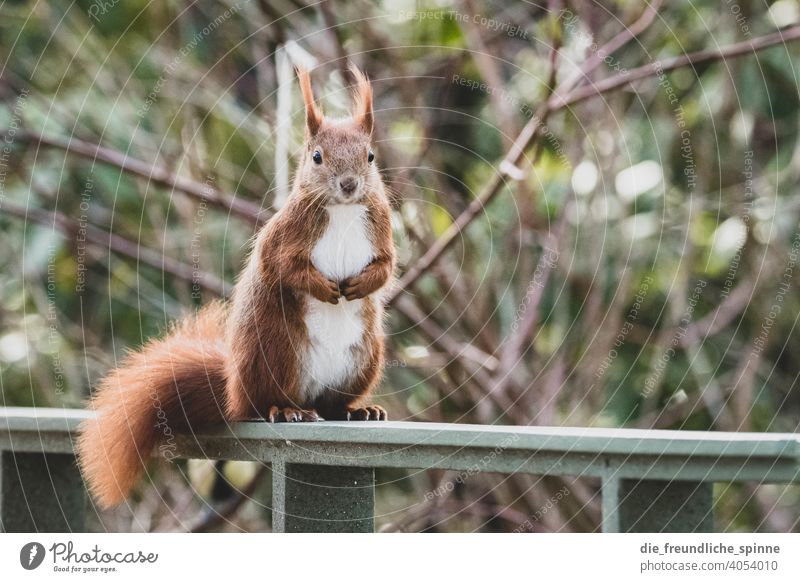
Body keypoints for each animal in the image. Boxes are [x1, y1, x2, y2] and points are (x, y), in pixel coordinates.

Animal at [76, 66, 396, 508]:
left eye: (370, 157)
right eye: (316, 156)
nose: (348, 184)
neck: (343, 210)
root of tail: (231, 389)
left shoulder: (380, 229)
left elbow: (385, 268)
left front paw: (361, 284)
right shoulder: (283, 236)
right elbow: (281, 267)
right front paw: (323, 288)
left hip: (364, 357)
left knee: (331, 403)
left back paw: (356, 411)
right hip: (275, 348)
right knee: (260, 406)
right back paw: (287, 411)